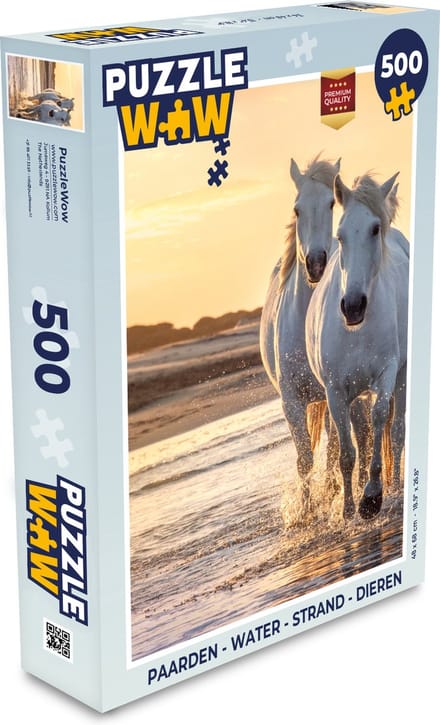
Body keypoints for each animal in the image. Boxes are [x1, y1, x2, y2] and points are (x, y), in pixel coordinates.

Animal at [305, 172, 408, 520]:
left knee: (397, 432)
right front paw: (349, 509)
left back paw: (395, 487)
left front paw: (372, 497)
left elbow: (379, 422)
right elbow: (347, 451)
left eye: (375, 229)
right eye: (340, 236)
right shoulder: (336, 391)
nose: (352, 306)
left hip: (401, 377)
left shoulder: (387, 373)